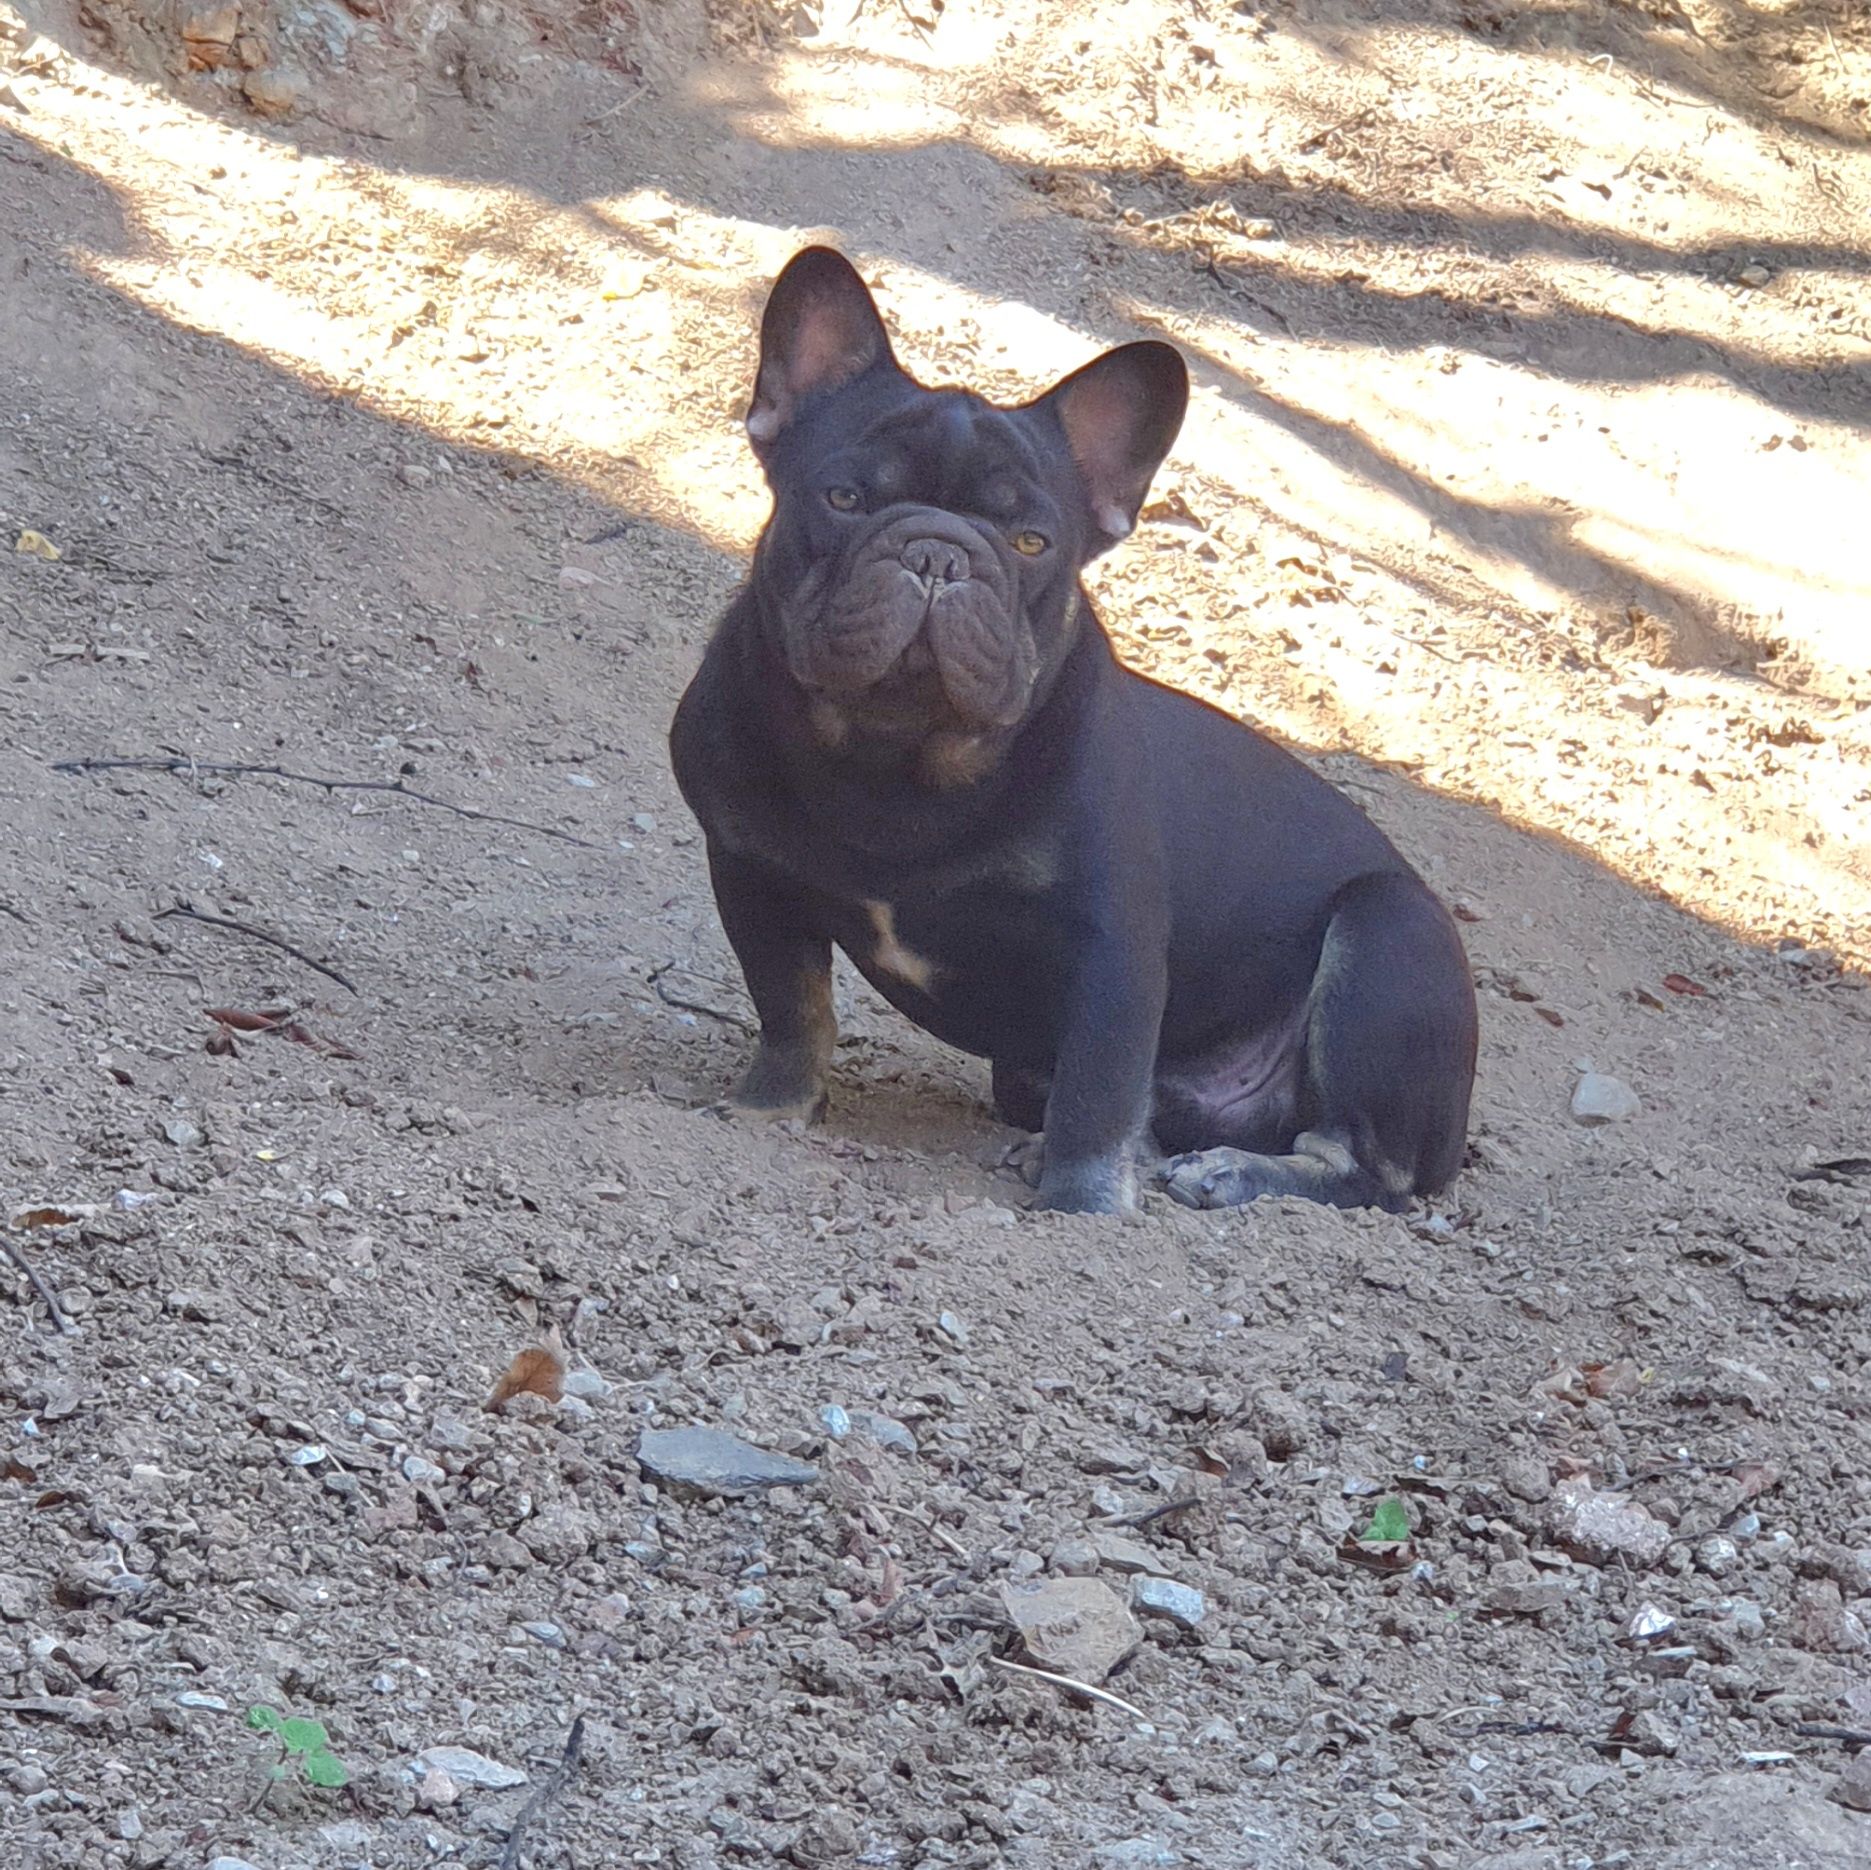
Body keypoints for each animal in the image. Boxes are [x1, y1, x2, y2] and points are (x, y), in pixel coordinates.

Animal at [673, 248, 1474, 1212]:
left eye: (1029, 543)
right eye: (842, 497)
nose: (938, 552)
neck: (893, 759)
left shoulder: (1112, 948)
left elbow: (1098, 1084)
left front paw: (1081, 1205)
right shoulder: (750, 873)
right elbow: (791, 1007)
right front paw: (769, 1109)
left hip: (1389, 932)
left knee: (1363, 1166)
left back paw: (1228, 1172)